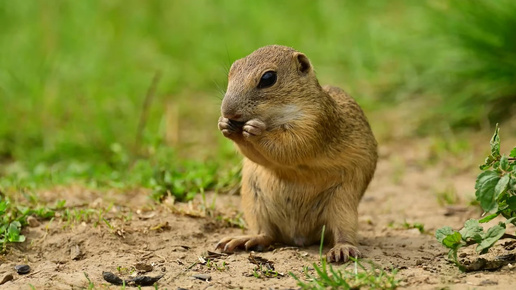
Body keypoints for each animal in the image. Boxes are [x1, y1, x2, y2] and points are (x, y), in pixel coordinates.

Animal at [216, 45, 376, 262]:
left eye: (268, 78)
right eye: (232, 69)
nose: (227, 111)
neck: (275, 116)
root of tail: (298, 237)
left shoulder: (314, 124)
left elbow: (289, 147)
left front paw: (255, 130)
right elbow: (256, 155)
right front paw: (224, 125)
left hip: (344, 206)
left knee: (343, 233)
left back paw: (342, 249)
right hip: (254, 202)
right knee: (266, 234)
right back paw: (244, 239)